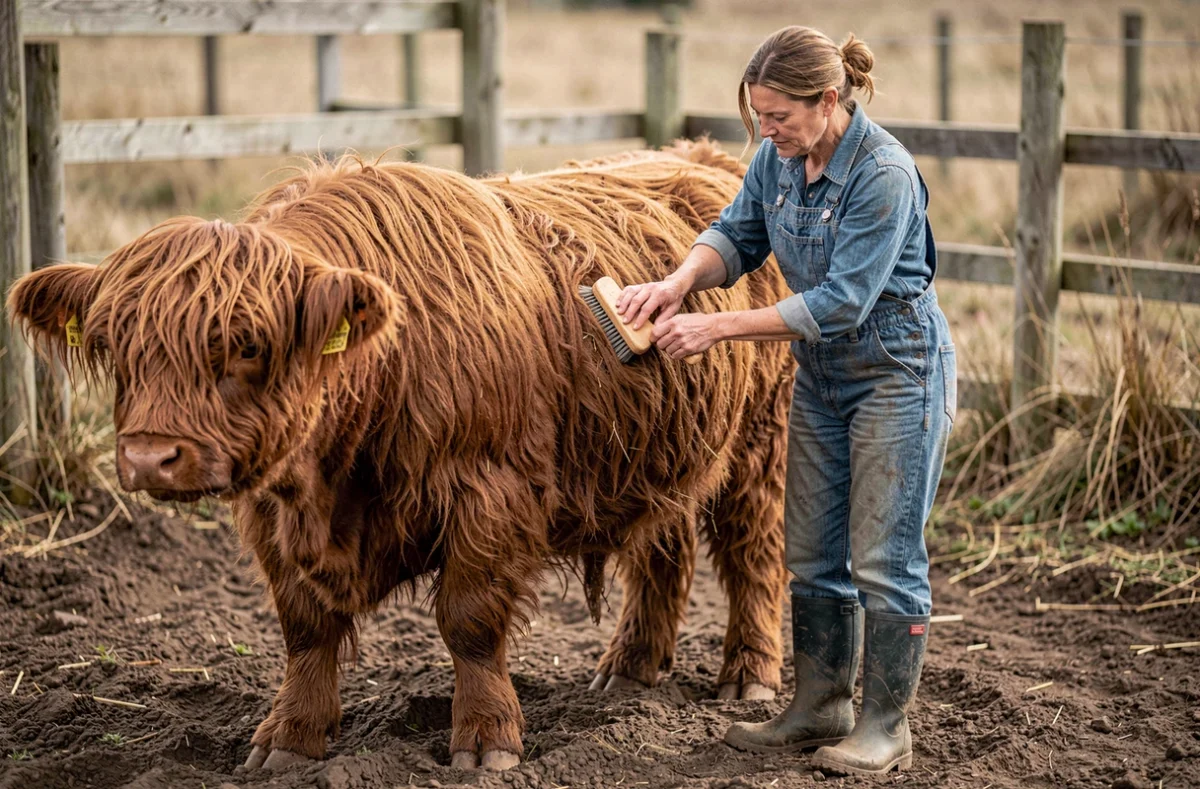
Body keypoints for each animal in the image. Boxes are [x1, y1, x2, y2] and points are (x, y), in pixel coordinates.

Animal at [7, 139, 795, 771]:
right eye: (114, 345)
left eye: (249, 344)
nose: (149, 456)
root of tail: (707, 154)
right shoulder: (271, 513)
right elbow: (305, 627)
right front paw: (290, 737)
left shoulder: (490, 492)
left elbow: (469, 621)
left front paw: (486, 739)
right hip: (668, 447)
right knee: (665, 552)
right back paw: (630, 669)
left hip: (762, 440)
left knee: (753, 550)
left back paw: (749, 675)